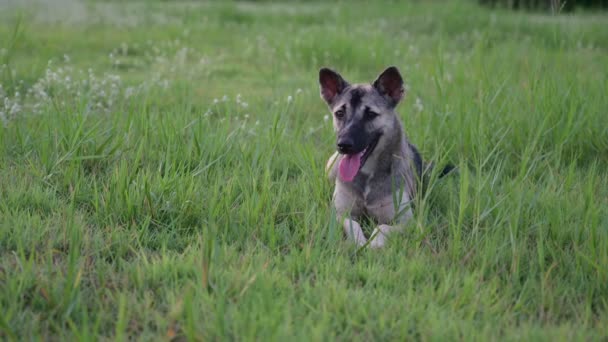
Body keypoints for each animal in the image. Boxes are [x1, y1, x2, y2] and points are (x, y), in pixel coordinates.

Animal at [320, 66, 448, 248]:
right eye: (340, 113)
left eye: (370, 114)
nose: (343, 144)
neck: (367, 173)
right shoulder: (340, 214)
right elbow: (353, 224)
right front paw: (358, 242)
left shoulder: (406, 222)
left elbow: (383, 228)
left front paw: (372, 245)